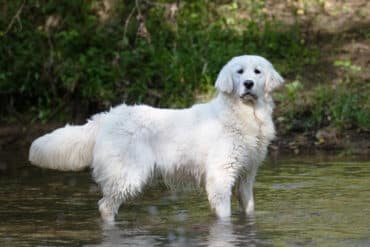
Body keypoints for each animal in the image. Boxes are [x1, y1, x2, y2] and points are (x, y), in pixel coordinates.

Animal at [29, 55, 284, 222]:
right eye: (239, 72)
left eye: (257, 72)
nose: (248, 84)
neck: (245, 115)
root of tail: (107, 117)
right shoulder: (221, 176)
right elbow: (224, 215)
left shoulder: (246, 176)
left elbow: (249, 208)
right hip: (128, 175)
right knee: (105, 207)